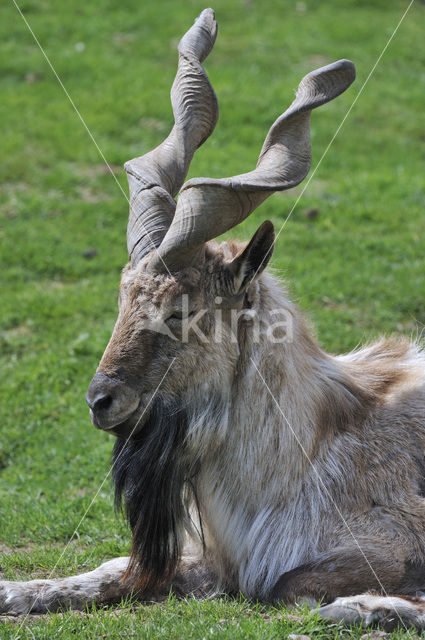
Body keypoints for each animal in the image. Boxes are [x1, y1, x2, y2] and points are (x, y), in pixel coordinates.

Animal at [0, 8, 424, 632]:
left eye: (180, 311)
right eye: (122, 298)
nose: (100, 400)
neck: (299, 457)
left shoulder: (389, 537)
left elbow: (290, 586)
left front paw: (368, 606)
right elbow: (112, 569)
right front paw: (17, 591)